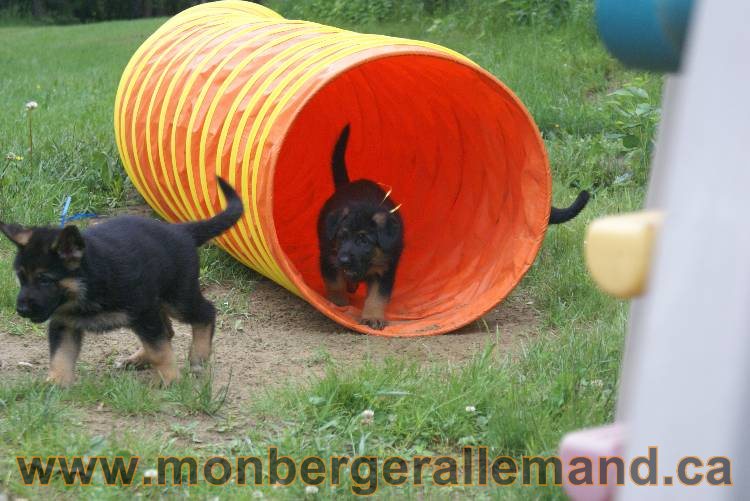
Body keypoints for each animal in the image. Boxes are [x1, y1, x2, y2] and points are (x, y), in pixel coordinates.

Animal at [0, 177, 244, 386]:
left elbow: (160, 350)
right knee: (167, 331)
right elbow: (61, 355)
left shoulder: (144, 312)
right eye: (21, 277)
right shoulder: (64, 323)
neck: (87, 284)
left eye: (44, 280)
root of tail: (182, 230)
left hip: (177, 297)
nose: (21, 309)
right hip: (158, 301)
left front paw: (169, 379)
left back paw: (198, 357)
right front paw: (55, 383)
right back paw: (138, 359)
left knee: (205, 313)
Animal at [318, 123, 406, 330]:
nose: (343, 259)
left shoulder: (385, 269)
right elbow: (334, 282)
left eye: (363, 240)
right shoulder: (329, 257)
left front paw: (373, 317)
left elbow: (377, 297)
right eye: (342, 236)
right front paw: (338, 302)